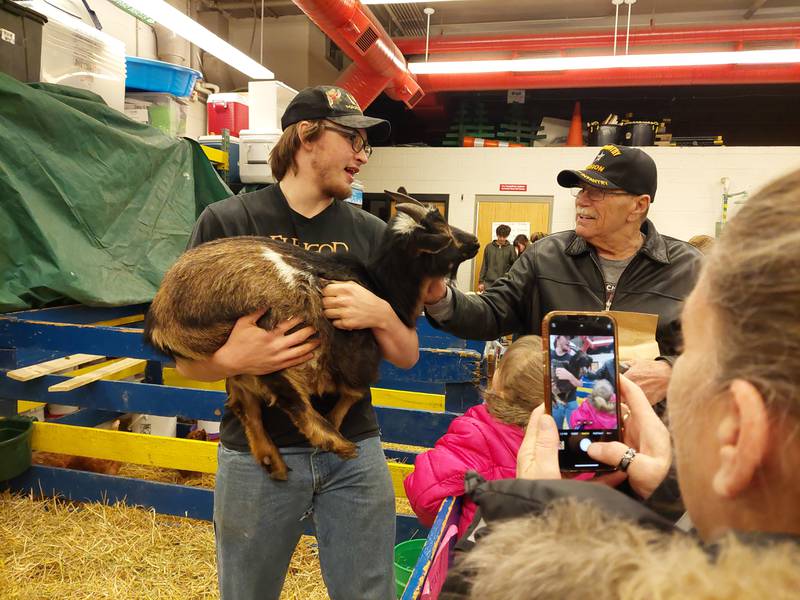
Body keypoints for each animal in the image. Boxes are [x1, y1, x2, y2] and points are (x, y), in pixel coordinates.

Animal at [144, 195, 478, 480]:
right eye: (444, 234)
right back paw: (335, 441)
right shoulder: (356, 351)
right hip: (267, 345)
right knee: (290, 401)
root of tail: (162, 312)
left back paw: (271, 459)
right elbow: (356, 389)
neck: (380, 287)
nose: (474, 242)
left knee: (243, 402)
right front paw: (336, 419)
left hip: (237, 360)